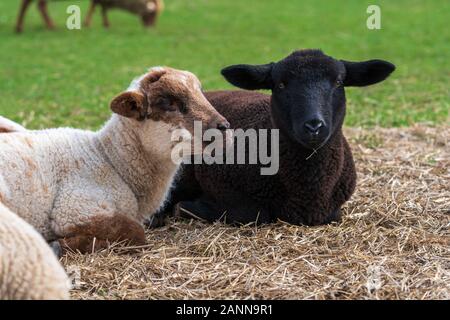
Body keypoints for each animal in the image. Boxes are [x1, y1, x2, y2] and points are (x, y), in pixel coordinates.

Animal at [0, 67, 230, 252]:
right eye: (169, 103)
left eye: (201, 94)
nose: (225, 128)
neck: (110, 159)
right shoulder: (75, 209)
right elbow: (134, 231)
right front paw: (57, 245)